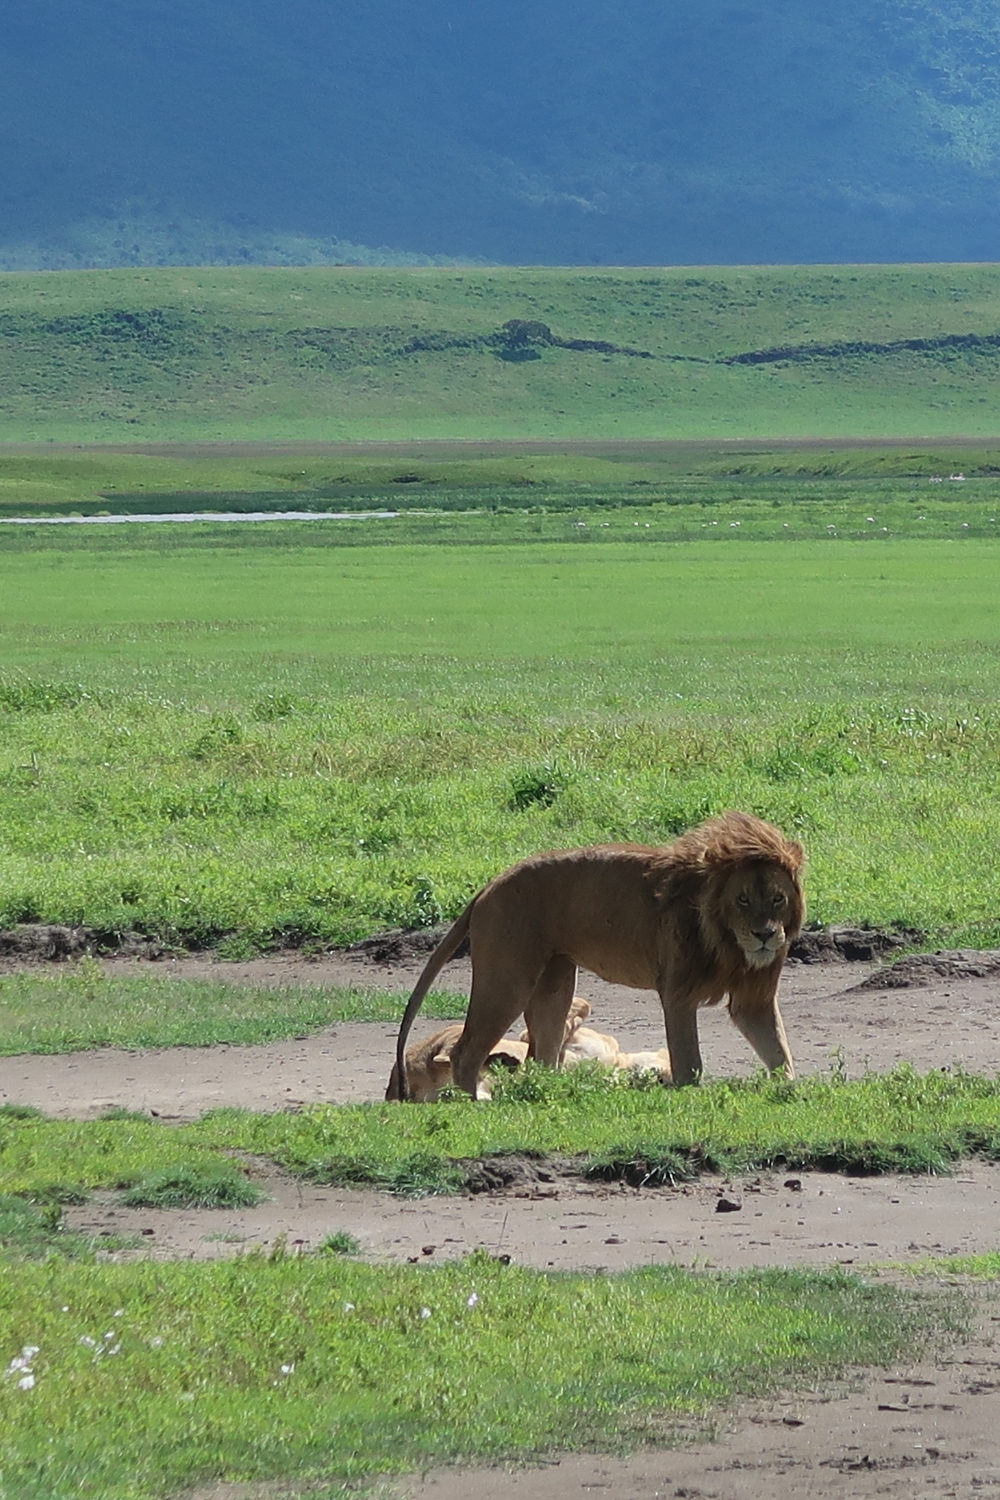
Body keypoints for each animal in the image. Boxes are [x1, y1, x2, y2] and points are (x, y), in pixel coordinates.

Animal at [388, 811, 804, 1099]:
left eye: (777, 899)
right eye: (743, 900)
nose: (765, 934)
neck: (729, 944)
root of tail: (490, 884)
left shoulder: (753, 999)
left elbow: (779, 1051)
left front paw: (790, 1090)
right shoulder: (678, 993)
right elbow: (689, 1060)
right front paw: (687, 1093)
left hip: (554, 982)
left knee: (542, 1055)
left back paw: (552, 1094)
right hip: (507, 980)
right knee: (466, 1052)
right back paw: (477, 1102)